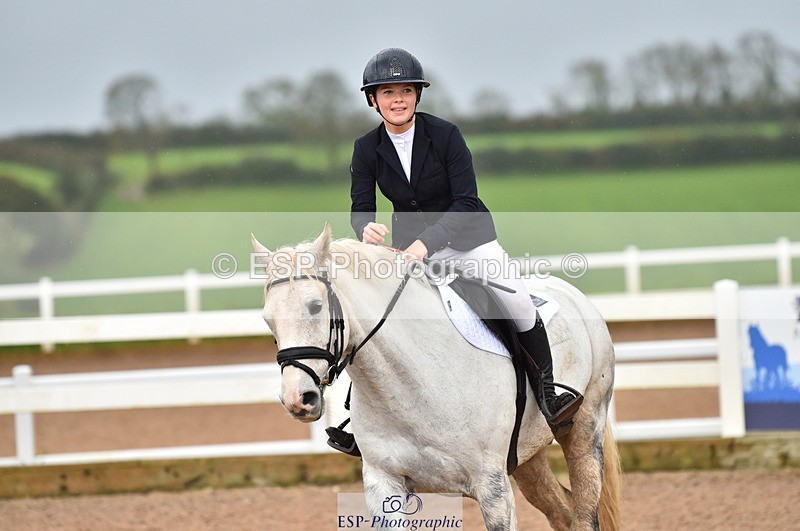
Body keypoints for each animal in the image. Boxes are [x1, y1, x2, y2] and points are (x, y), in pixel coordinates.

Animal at [252, 225, 621, 531]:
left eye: (315, 306)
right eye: (268, 319)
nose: (297, 400)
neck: (409, 386)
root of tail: (573, 292)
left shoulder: (493, 490)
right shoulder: (383, 485)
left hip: (584, 431)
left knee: (584, 512)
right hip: (526, 457)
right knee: (562, 511)